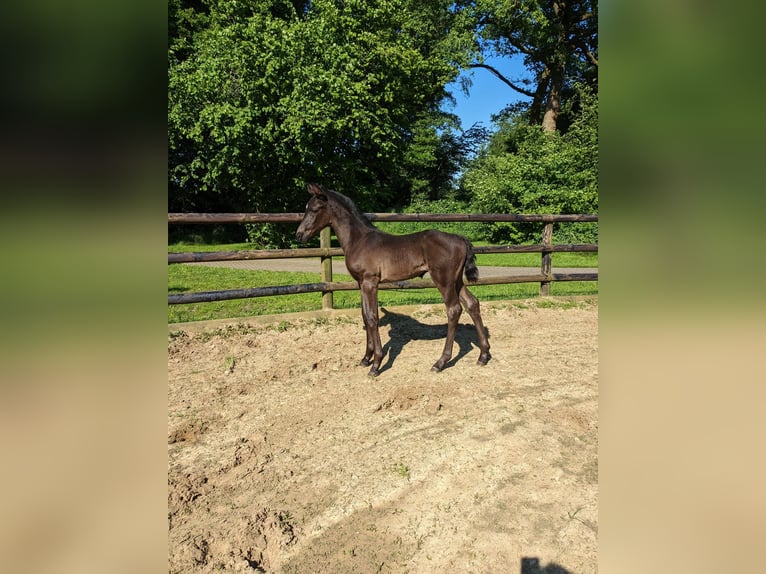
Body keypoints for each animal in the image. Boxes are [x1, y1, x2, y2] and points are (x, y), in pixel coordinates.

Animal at [296, 181, 488, 378]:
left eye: (314, 209)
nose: (299, 234)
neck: (359, 240)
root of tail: (461, 239)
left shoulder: (370, 282)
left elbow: (372, 317)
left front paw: (376, 364)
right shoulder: (361, 283)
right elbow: (365, 315)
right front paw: (366, 358)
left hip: (443, 280)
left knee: (454, 309)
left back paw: (440, 362)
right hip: (456, 280)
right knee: (472, 303)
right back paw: (483, 355)